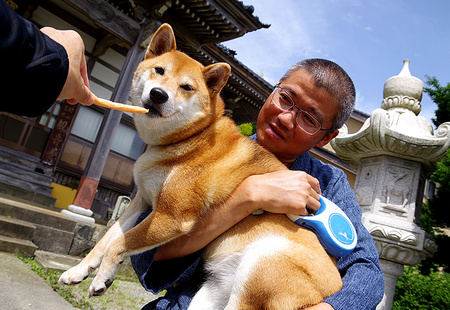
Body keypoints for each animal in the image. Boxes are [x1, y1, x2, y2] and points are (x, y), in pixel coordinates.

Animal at [59, 23, 342, 308]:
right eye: (159, 70)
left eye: (186, 87)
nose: (158, 95)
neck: (189, 138)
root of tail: (332, 288)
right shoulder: (142, 201)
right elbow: (106, 240)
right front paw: (78, 270)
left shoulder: (171, 216)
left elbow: (119, 244)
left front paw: (102, 277)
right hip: (211, 292)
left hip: (263, 265)